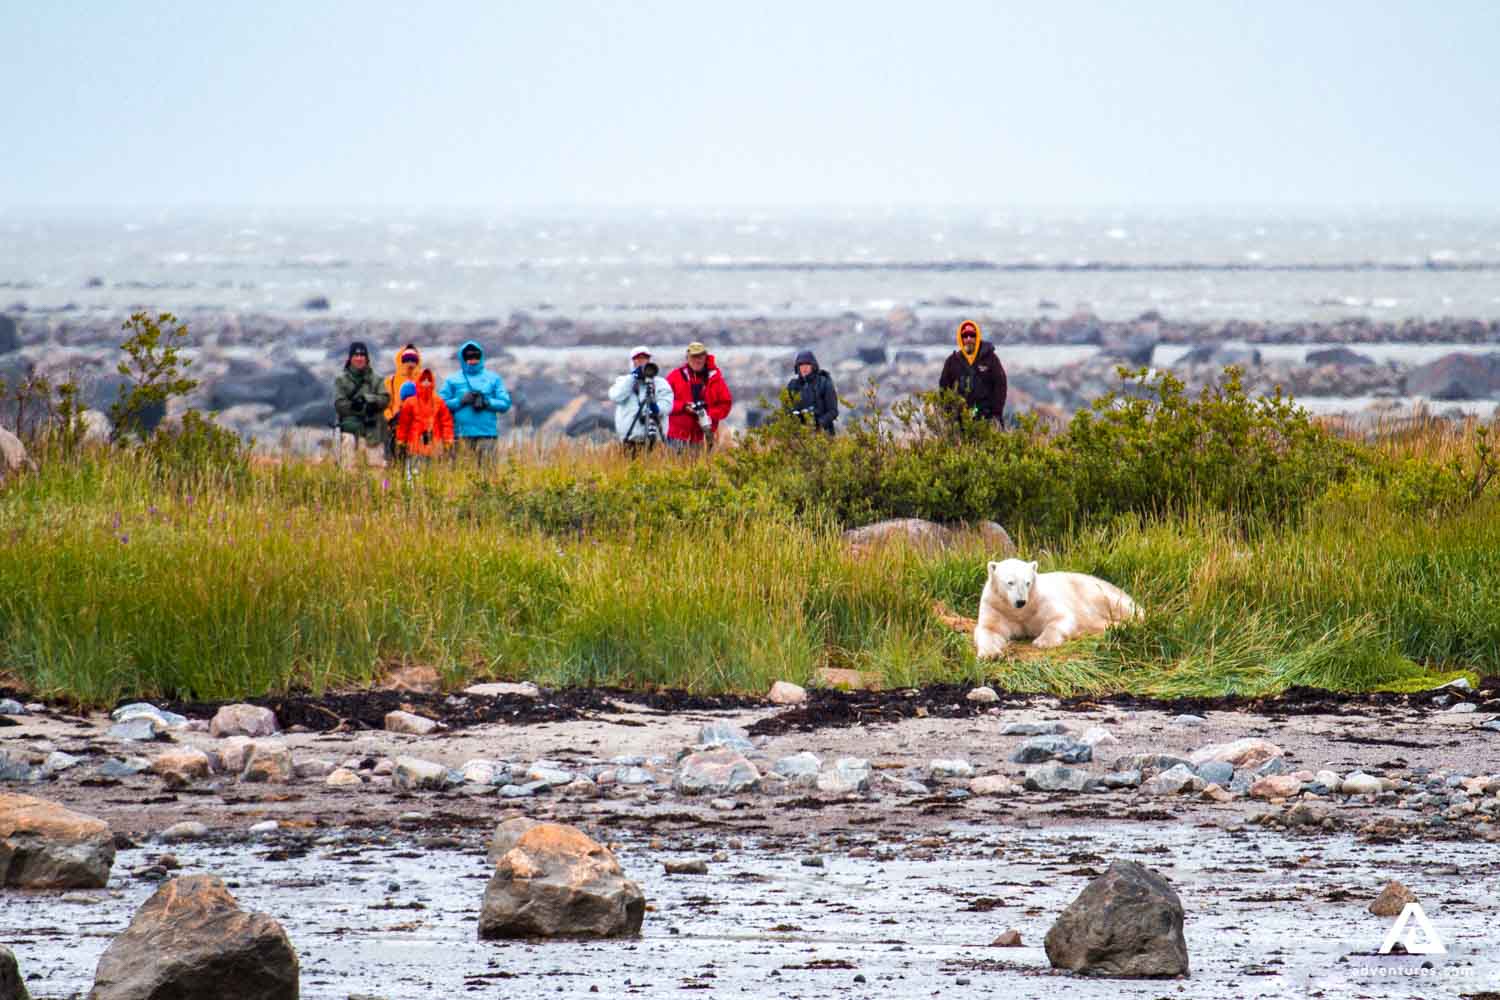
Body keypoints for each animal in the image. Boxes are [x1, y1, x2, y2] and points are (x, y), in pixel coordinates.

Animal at [974, 558, 1139, 659]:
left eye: (1028, 583)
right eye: (1010, 582)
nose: (1021, 601)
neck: (1019, 612)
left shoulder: (1039, 601)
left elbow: (1061, 617)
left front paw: (1043, 642)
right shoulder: (996, 607)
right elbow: (990, 629)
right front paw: (990, 654)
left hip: (1093, 591)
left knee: (1118, 605)